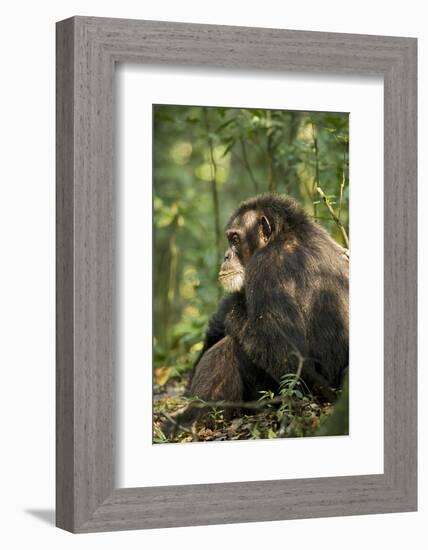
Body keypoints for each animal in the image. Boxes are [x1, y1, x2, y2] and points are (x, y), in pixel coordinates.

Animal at [182, 196, 350, 424]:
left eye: (235, 239)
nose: (226, 256)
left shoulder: (266, 268)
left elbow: (288, 359)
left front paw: (231, 311)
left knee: (231, 346)